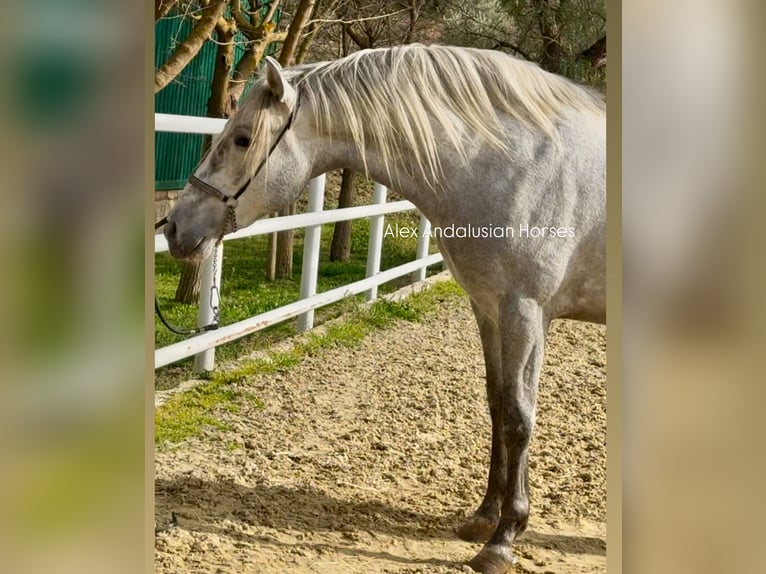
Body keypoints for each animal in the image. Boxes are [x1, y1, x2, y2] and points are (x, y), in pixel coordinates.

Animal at [164, 42, 608, 572]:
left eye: (242, 138)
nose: (173, 226)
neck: (513, 166)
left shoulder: (526, 312)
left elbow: (520, 417)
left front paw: (503, 538)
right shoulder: (489, 308)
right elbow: (498, 404)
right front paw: (484, 518)